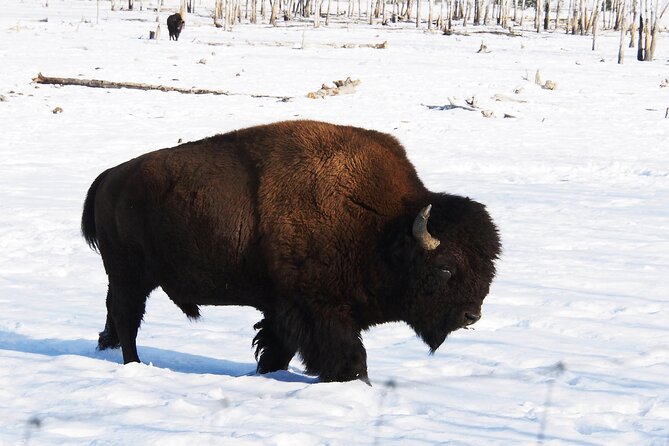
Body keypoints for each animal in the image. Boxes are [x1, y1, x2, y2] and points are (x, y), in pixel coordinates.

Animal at [82, 119, 500, 384]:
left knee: (114, 313)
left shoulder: (281, 308)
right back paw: (134, 363)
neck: (383, 228)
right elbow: (349, 355)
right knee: (127, 318)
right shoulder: (316, 309)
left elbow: (276, 348)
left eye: (488, 268)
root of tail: (109, 177)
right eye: (445, 268)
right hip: (129, 274)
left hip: (125, 277)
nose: (471, 315)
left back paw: (107, 348)